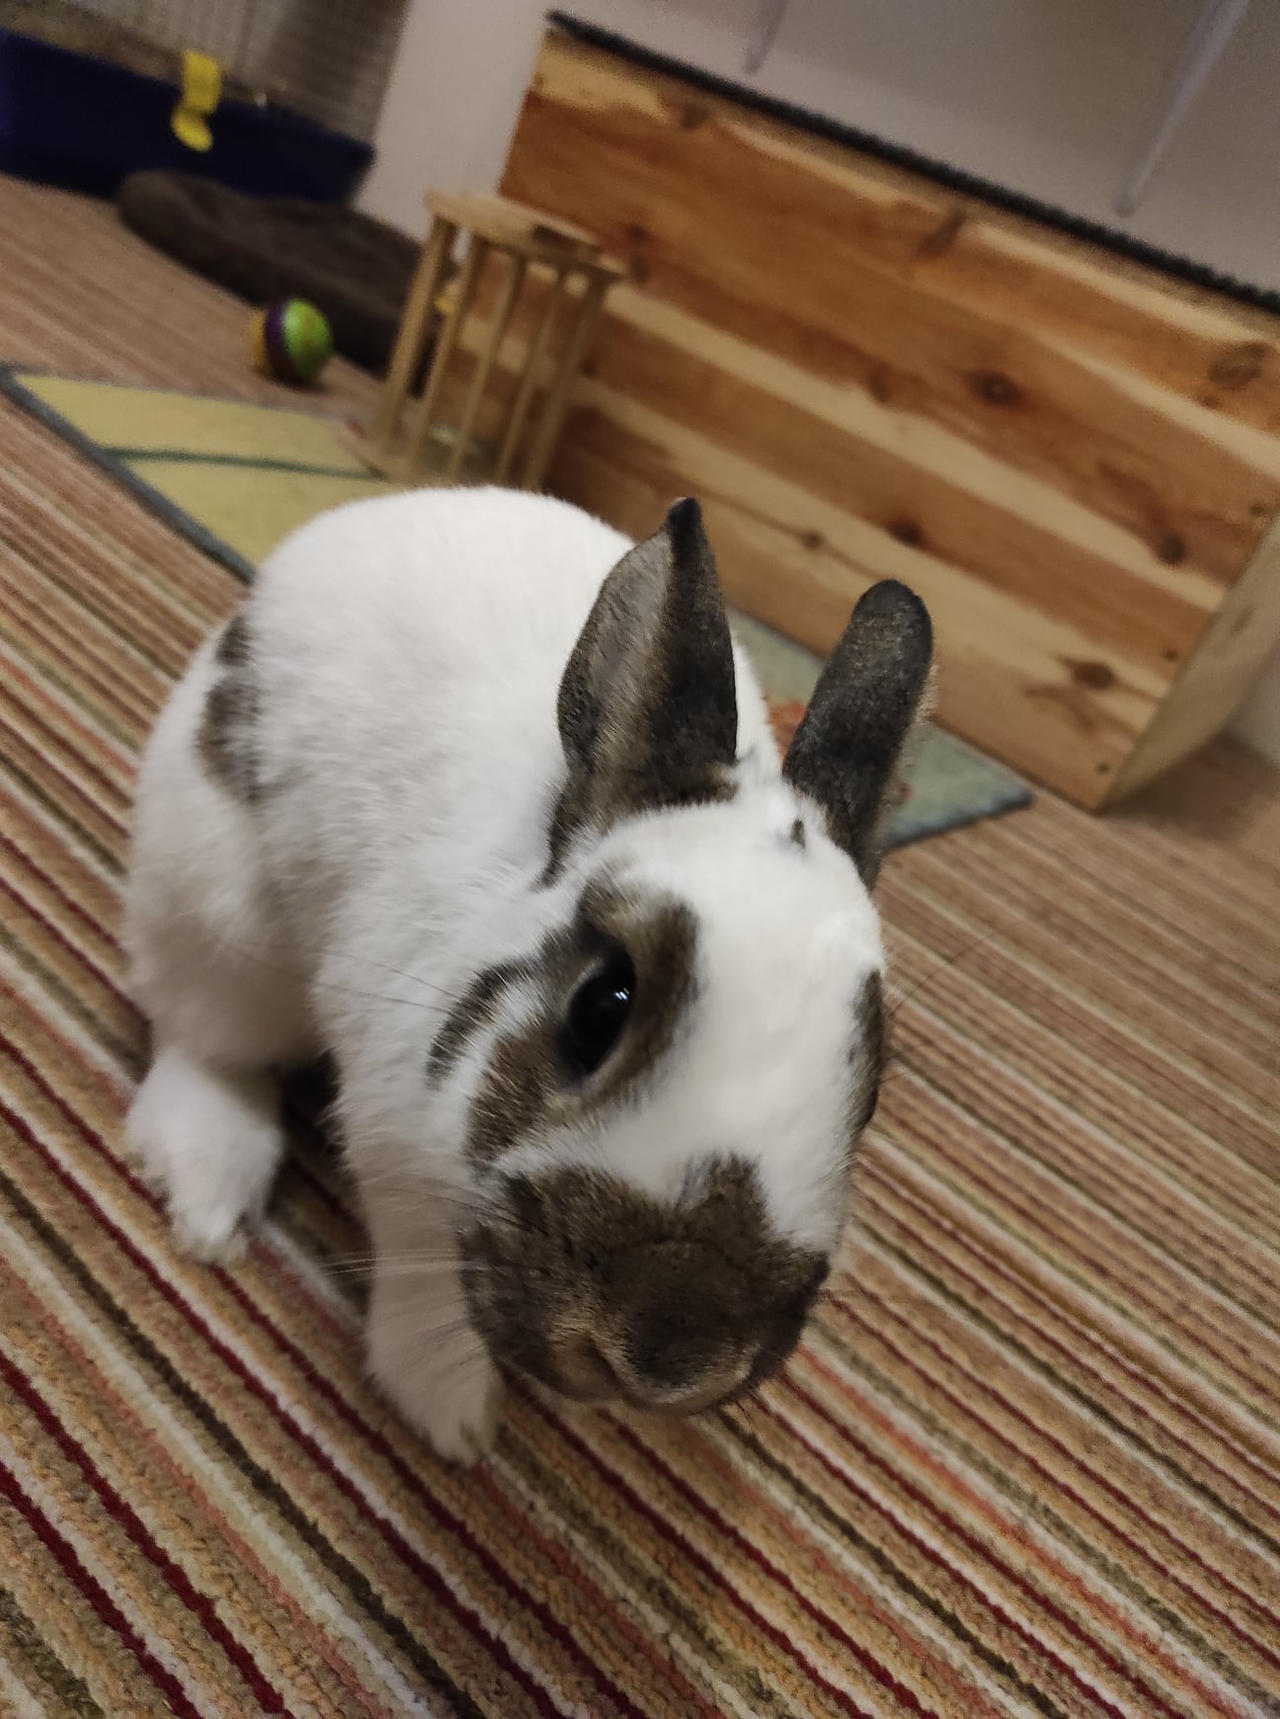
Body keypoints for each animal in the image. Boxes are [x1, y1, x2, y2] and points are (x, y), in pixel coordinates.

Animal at [124, 485, 932, 1462]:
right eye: (599, 1007)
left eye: (870, 1092)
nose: (671, 1356)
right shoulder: (394, 1139)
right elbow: (423, 1272)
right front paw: (453, 1419)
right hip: (213, 907)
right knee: (206, 1041)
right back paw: (209, 1197)